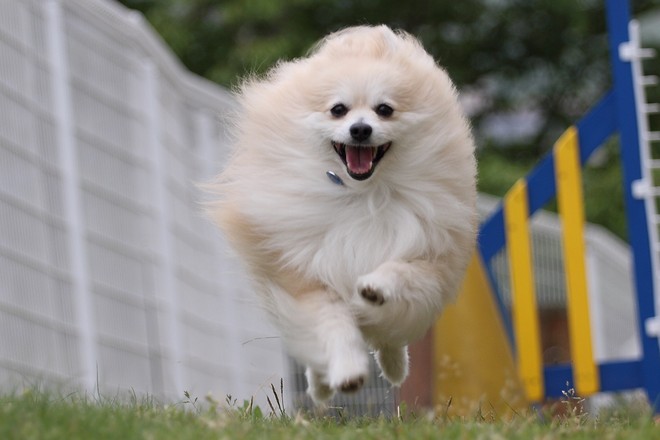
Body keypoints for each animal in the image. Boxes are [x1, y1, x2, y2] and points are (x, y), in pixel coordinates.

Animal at [209, 25, 477, 404]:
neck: (362, 193)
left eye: (384, 110)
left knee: (390, 337)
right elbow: (333, 325)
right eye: (338, 110)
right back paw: (322, 387)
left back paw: (395, 367)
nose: (360, 129)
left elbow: (402, 272)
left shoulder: (430, 255)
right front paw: (347, 372)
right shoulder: (307, 276)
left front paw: (376, 287)